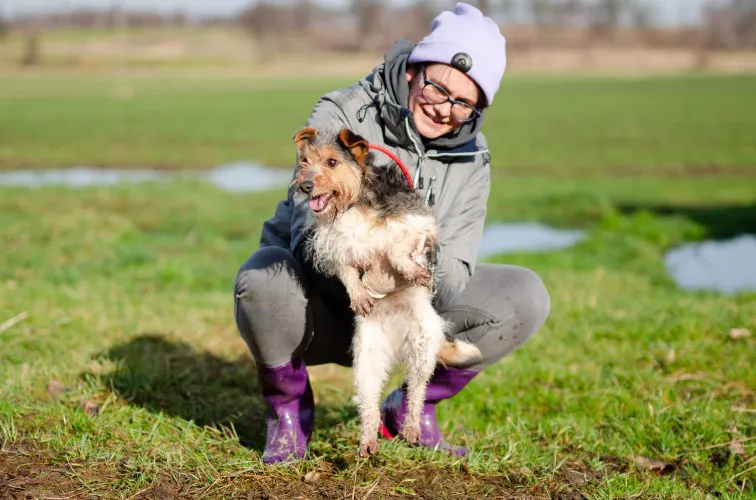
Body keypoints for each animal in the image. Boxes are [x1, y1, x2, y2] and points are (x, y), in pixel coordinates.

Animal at [292, 126, 482, 458]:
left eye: (331, 162)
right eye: (304, 162)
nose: (304, 185)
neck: (354, 204)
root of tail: (396, 344)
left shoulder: (418, 226)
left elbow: (395, 248)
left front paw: (410, 271)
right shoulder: (334, 247)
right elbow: (347, 272)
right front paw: (358, 295)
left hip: (422, 346)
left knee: (416, 392)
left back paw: (412, 428)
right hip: (366, 360)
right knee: (369, 404)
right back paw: (368, 440)